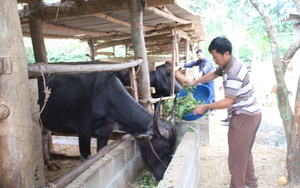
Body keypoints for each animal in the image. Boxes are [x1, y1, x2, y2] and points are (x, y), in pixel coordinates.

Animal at [38, 71, 177, 181]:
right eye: (165, 147)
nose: (161, 176)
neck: (105, 98)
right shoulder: (83, 131)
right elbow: (86, 161)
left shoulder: (104, 134)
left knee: (43, 137)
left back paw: (50, 164)